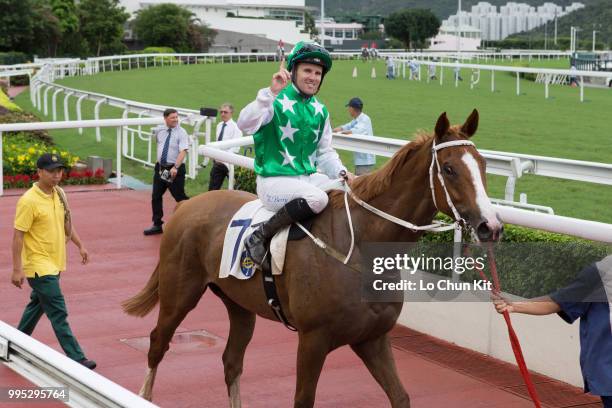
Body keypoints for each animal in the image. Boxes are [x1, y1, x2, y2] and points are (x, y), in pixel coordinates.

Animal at [123, 110, 502, 406]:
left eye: (484, 165)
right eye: (450, 169)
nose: (491, 226)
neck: (359, 245)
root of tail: (187, 205)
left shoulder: (373, 338)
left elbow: (400, 396)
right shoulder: (313, 339)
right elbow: (303, 399)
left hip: (240, 305)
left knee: (231, 361)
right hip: (180, 292)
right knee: (157, 342)